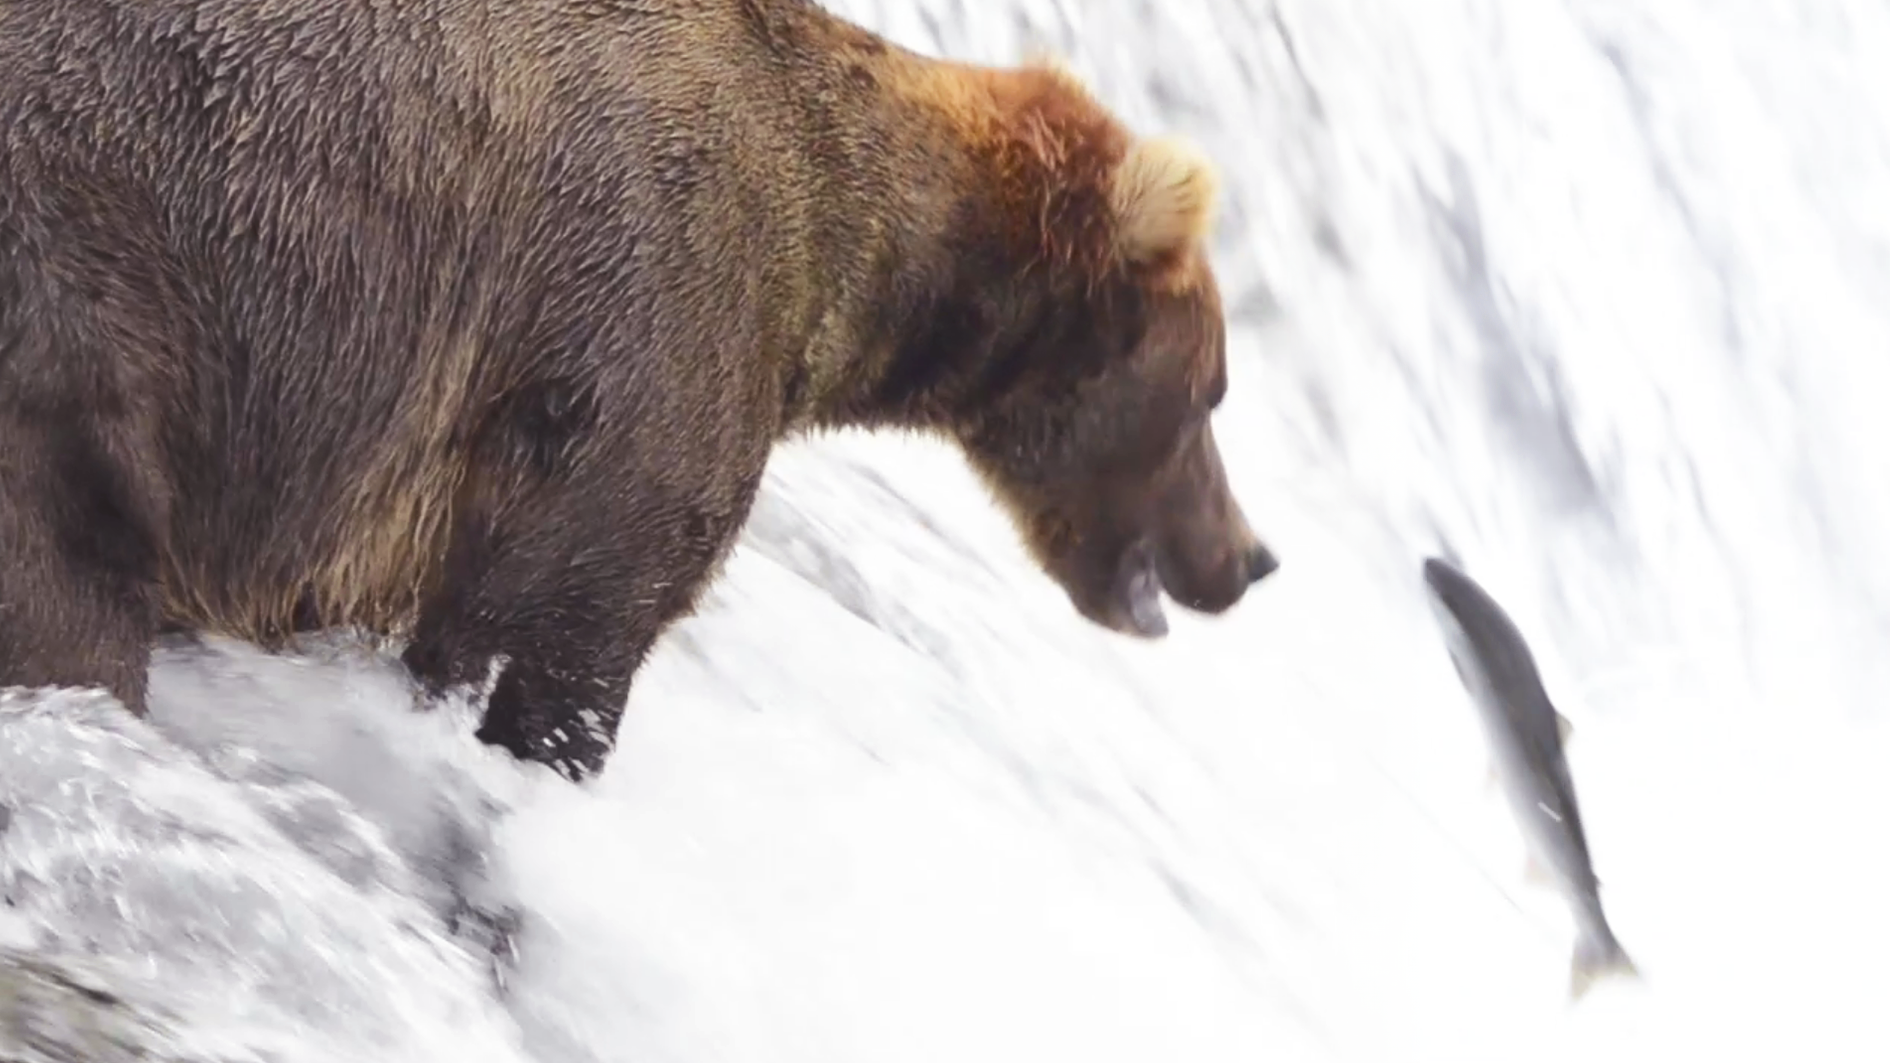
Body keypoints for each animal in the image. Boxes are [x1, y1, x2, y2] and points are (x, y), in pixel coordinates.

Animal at [0, 0, 1278, 783]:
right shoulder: (649, 336)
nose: (1251, 556)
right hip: (107, 296)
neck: (860, 260)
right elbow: (576, 626)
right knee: (75, 591)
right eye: (1211, 393)